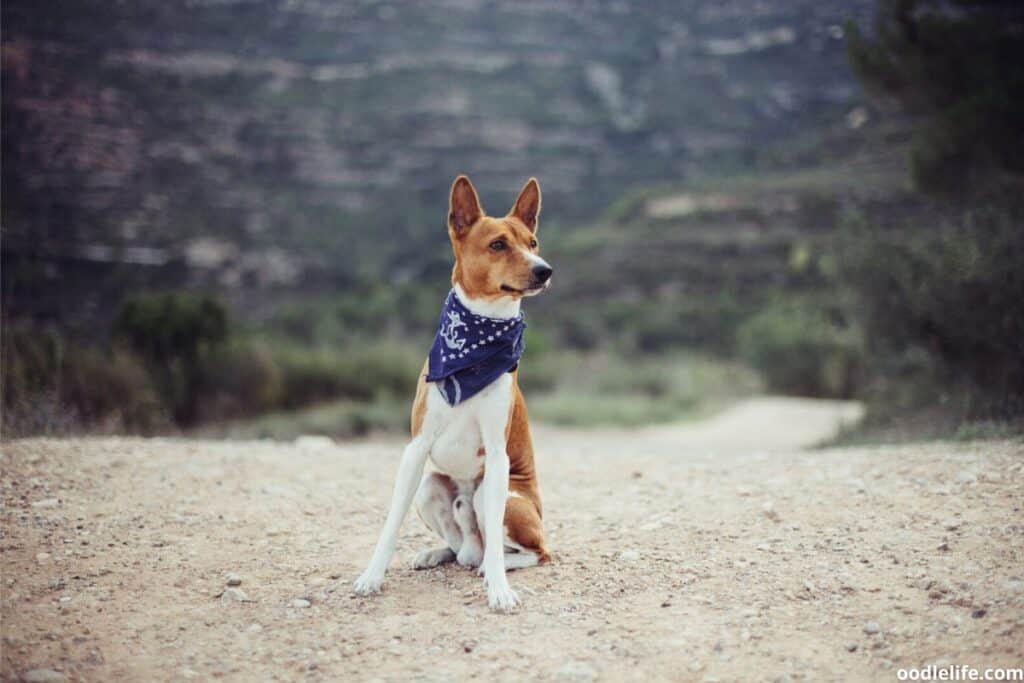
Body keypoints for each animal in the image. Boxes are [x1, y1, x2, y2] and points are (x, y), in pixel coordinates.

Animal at [356, 174, 557, 610]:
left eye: (533, 242)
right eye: (498, 244)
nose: (545, 270)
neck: (474, 348)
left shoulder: (497, 454)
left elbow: (498, 545)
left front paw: (499, 589)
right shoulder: (416, 449)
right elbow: (390, 523)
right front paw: (372, 576)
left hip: (500, 497)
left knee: (528, 551)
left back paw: (490, 566)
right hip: (431, 487)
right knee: (466, 543)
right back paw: (441, 552)